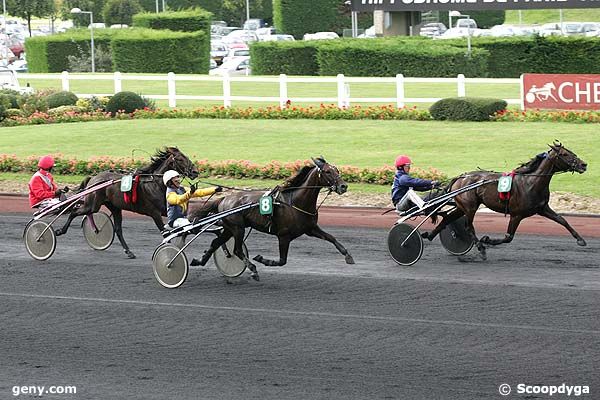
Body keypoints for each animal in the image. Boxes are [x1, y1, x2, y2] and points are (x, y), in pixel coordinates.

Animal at [55, 148, 198, 260]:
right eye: (180, 159)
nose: (195, 171)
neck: (155, 184)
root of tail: (93, 178)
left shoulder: (165, 211)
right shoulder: (155, 213)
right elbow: (166, 233)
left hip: (115, 207)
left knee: (118, 229)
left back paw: (129, 251)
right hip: (92, 205)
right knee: (74, 211)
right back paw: (60, 231)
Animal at [190, 156, 354, 282]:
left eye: (337, 170)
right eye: (327, 171)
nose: (343, 186)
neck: (295, 202)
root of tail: (224, 199)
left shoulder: (310, 228)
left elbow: (331, 238)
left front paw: (348, 256)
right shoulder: (284, 236)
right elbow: (282, 261)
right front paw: (262, 259)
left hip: (229, 228)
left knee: (216, 243)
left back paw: (199, 261)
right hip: (238, 228)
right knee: (237, 250)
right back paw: (253, 269)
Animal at [424, 142, 588, 260]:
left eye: (571, 151)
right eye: (565, 154)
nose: (583, 164)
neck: (531, 183)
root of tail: (459, 177)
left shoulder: (542, 208)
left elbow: (562, 220)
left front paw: (580, 240)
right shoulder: (516, 215)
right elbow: (508, 237)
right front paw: (487, 240)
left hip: (462, 206)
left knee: (448, 219)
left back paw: (429, 236)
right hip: (470, 207)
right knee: (468, 227)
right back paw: (481, 248)